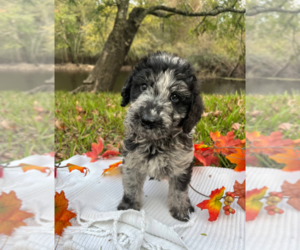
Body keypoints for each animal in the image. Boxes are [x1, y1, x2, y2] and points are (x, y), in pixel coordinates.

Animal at [117, 51, 204, 222]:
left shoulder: (181, 164)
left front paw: (180, 209)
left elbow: (179, 190)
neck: (155, 143)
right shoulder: (132, 160)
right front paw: (129, 205)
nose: (148, 120)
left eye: (175, 97)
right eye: (143, 86)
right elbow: (131, 184)